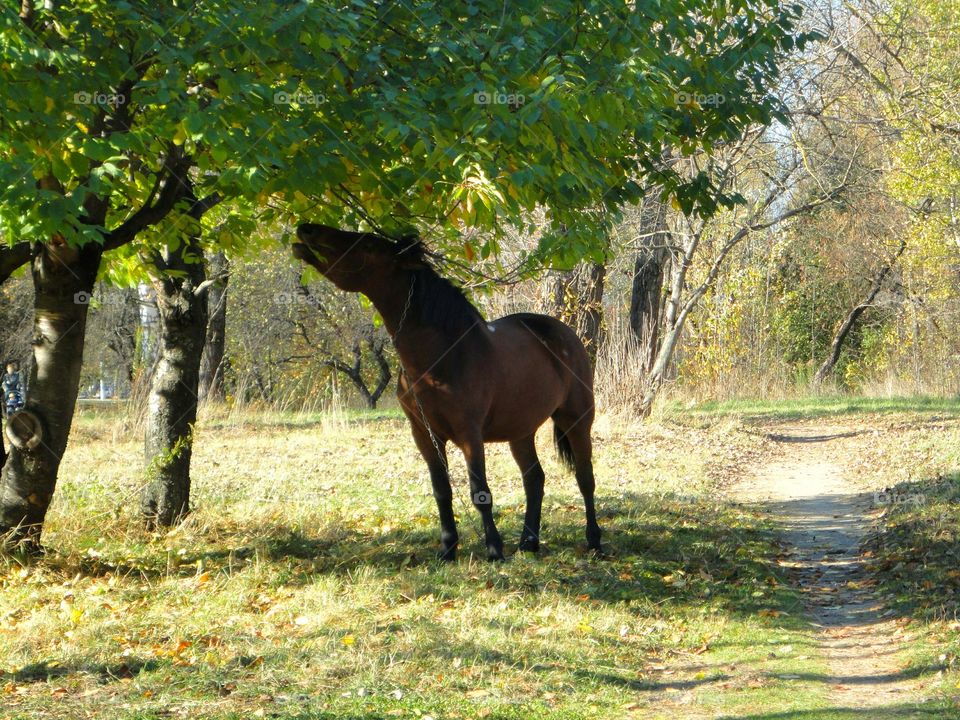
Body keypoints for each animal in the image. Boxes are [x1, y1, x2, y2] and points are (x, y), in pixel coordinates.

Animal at [292, 222, 600, 560]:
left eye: (369, 246)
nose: (306, 229)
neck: (441, 356)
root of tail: (565, 334)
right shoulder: (424, 434)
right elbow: (442, 490)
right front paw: (448, 548)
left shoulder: (469, 433)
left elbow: (480, 491)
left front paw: (494, 549)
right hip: (520, 430)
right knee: (534, 479)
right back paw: (528, 543)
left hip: (576, 419)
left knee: (585, 478)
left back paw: (594, 541)